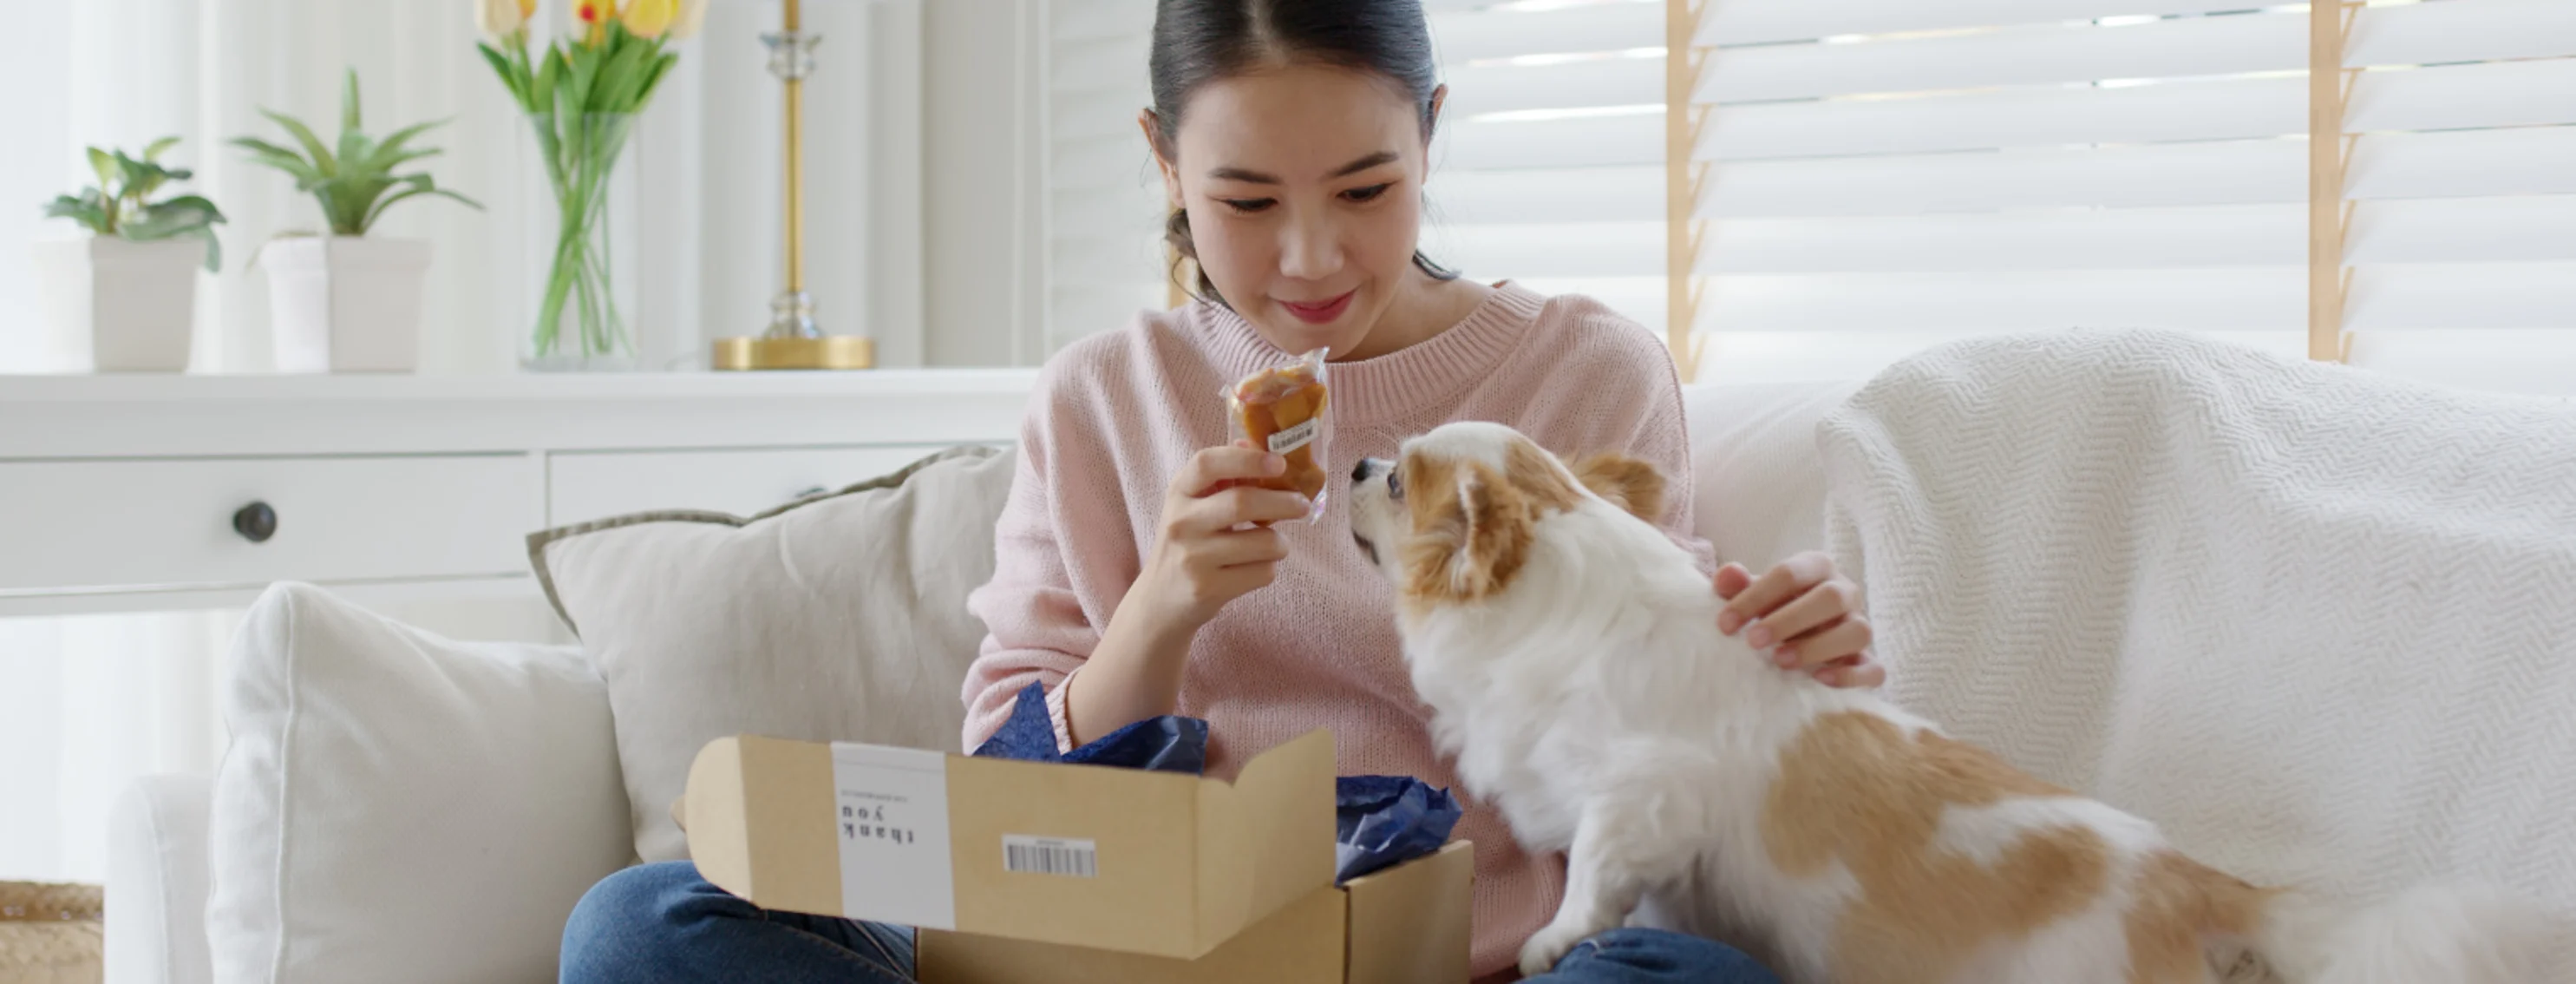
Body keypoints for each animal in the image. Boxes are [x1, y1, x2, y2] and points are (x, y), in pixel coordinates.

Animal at [1339, 419, 2545, 984]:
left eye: (1396, 481)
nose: (1349, 462)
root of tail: (2192, 882)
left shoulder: (1641, 797)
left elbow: (1592, 881)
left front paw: (1555, 939)